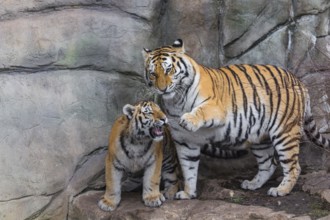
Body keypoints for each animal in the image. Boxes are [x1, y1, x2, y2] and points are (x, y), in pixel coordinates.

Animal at [143, 38, 330, 199]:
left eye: (168, 70)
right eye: (153, 74)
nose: (162, 89)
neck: (176, 101)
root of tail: (299, 81)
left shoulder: (216, 107)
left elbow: (200, 110)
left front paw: (188, 119)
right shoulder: (185, 141)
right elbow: (188, 169)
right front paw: (188, 193)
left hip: (285, 132)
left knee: (293, 166)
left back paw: (281, 190)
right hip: (260, 138)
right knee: (269, 164)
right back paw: (253, 184)